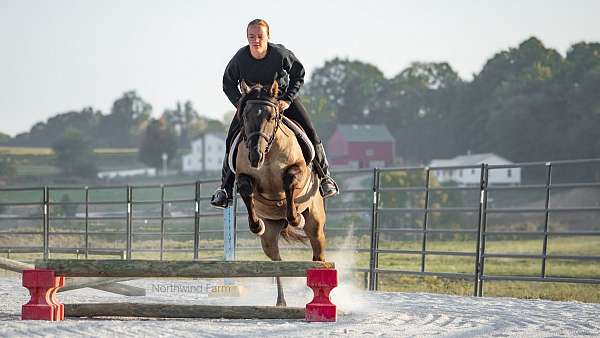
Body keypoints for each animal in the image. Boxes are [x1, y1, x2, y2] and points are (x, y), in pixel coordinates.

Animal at [233, 80, 326, 306]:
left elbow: (290, 181)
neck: (268, 154)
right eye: (245, 116)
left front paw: (297, 220)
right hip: (269, 238)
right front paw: (256, 225)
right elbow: (246, 189)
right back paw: (281, 301)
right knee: (277, 263)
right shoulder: (244, 177)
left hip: (316, 225)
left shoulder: (298, 169)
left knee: (318, 256)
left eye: (271, 116)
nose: (255, 156)